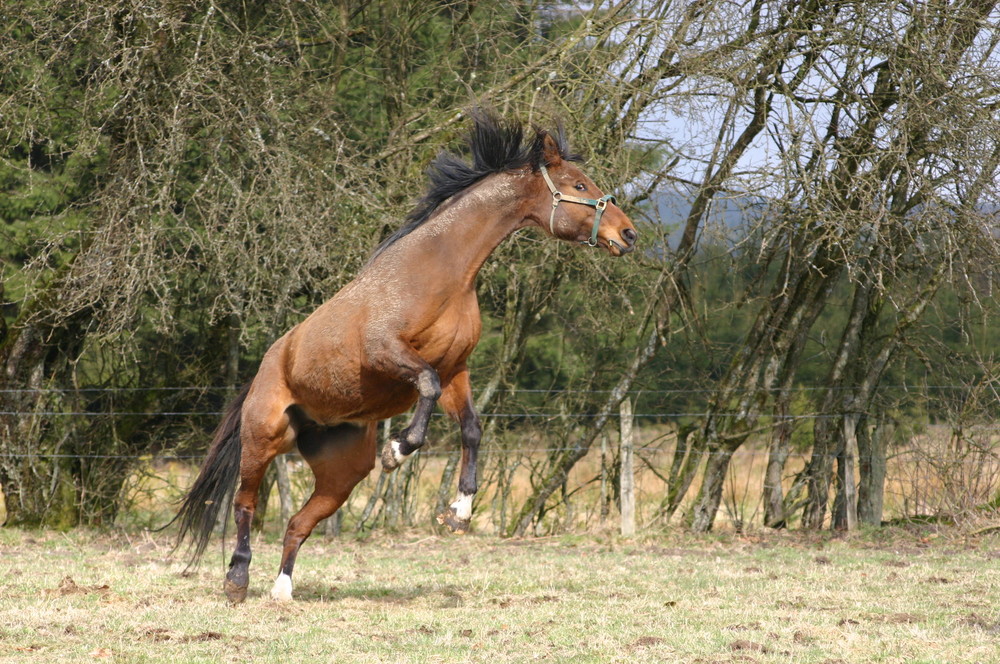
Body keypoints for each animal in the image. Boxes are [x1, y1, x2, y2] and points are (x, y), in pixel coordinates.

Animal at [173, 111, 636, 604]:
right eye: (579, 184)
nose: (628, 234)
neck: (441, 272)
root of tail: (265, 367)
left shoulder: (456, 369)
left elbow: (471, 428)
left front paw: (459, 511)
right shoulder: (388, 354)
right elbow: (426, 388)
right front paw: (398, 450)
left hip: (343, 471)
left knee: (298, 523)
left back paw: (282, 589)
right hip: (262, 440)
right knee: (244, 505)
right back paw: (237, 580)